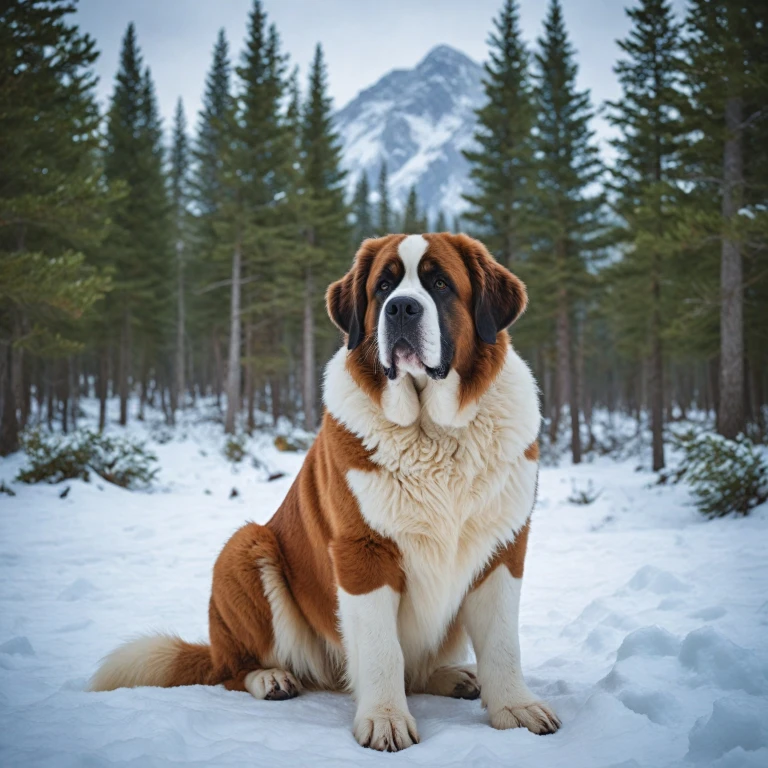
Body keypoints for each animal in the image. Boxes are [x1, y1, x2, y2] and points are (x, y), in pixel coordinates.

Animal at [90, 232, 560, 752]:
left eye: (440, 284)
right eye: (383, 287)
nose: (401, 308)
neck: (432, 431)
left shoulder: (504, 549)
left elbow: (501, 644)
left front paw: (515, 709)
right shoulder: (361, 553)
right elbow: (380, 649)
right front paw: (385, 720)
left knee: (418, 669)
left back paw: (451, 676)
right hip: (246, 546)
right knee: (233, 667)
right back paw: (270, 678)